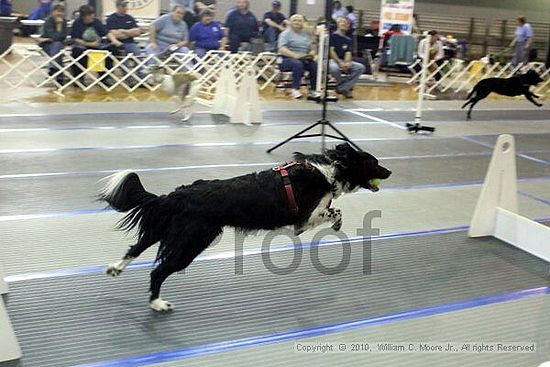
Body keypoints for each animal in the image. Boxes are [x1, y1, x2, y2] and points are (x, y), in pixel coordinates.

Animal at [99, 144, 392, 314]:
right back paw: (157, 303)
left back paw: (116, 268)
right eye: (374, 163)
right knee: (158, 271)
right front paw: (338, 221)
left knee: (136, 247)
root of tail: (176, 196)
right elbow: (335, 211)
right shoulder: (306, 219)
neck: (331, 169)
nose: (389, 172)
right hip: (192, 242)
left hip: (169, 231)